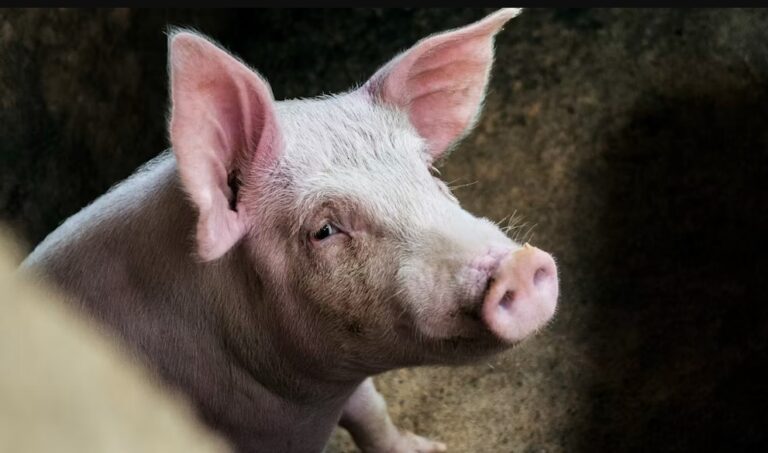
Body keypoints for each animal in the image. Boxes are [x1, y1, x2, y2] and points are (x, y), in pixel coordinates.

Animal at [20, 8, 559, 453]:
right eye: (324, 229)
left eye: (430, 173)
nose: (519, 264)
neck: (307, 404)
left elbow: (372, 412)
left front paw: (433, 449)